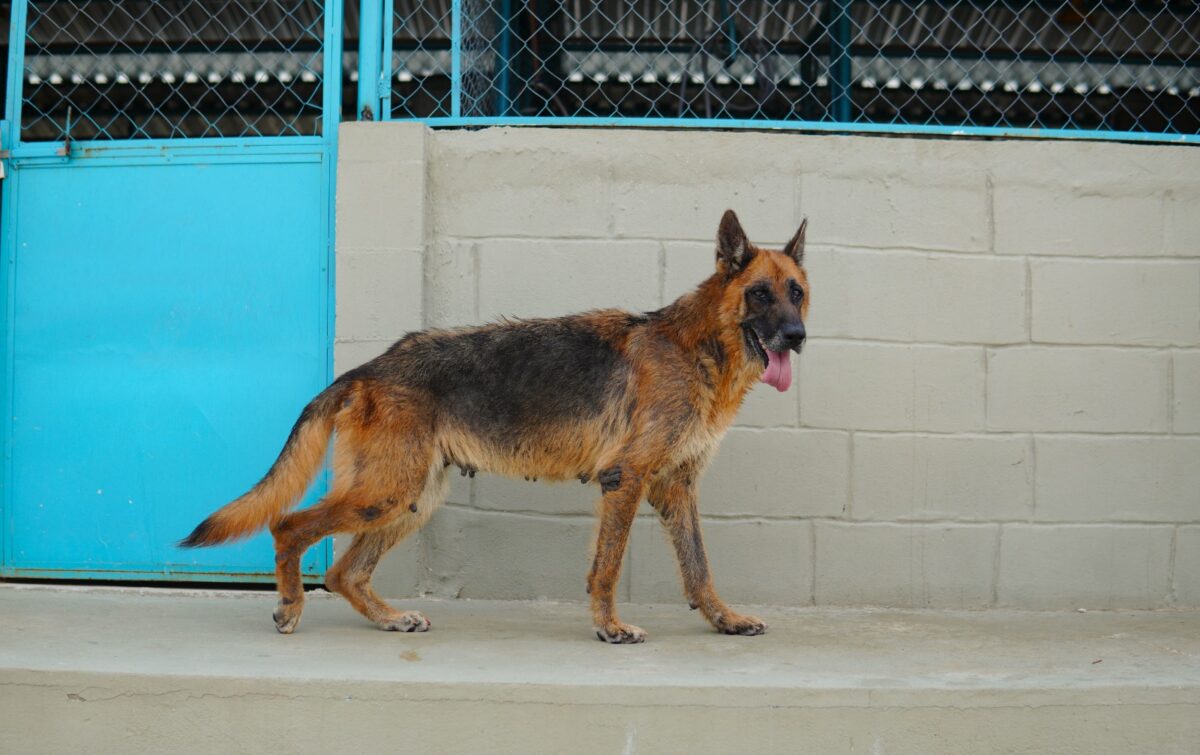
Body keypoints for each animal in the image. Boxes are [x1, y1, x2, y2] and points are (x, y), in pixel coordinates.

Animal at [181, 209, 809, 644]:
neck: (697, 346)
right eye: (759, 294)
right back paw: (291, 606)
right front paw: (609, 627)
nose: (797, 337)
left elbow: (699, 567)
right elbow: (607, 568)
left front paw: (724, 620)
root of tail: (370, 368)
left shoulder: (675, 488)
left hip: (411, 497)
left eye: (797, 293)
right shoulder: (626, 481)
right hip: (387, 492)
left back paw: (388, 618)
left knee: (344, 572)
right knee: (289, 527)